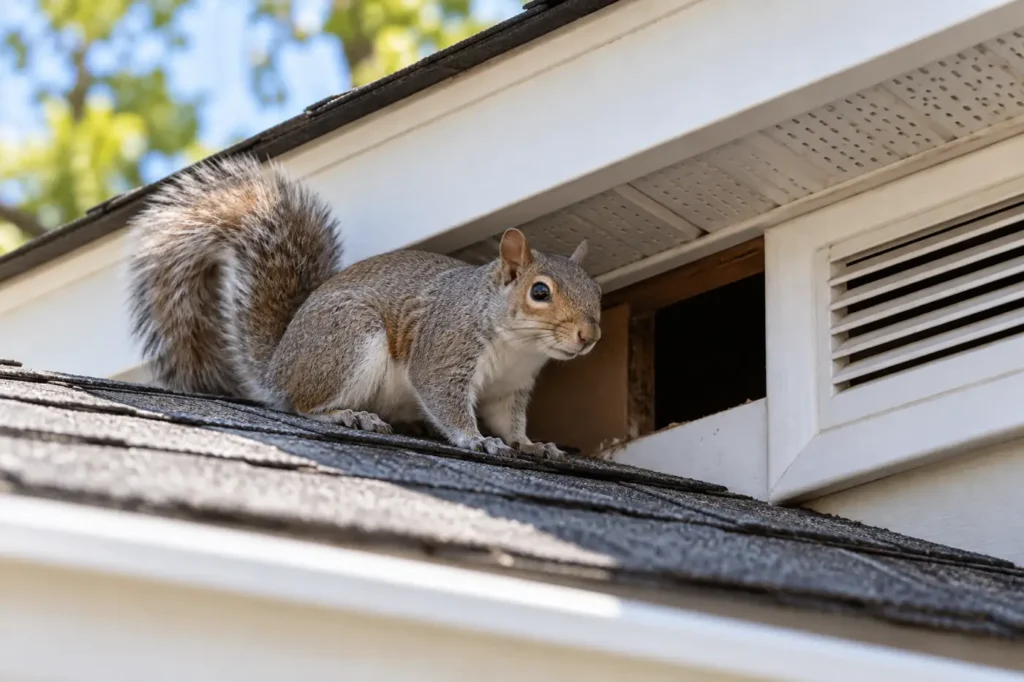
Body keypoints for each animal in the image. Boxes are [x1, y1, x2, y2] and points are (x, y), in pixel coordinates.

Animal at [126, 155, 602, 460]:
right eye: (539, 292)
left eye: (596, 292)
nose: (589, 335)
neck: (517, 346)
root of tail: (278, 366)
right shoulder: (446, 348)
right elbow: (442, 397)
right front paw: (476, 441)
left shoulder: (510, 388)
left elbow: (510, 422)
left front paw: (532, 444)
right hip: (349, 341)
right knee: (304, 405)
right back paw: (349, 415)